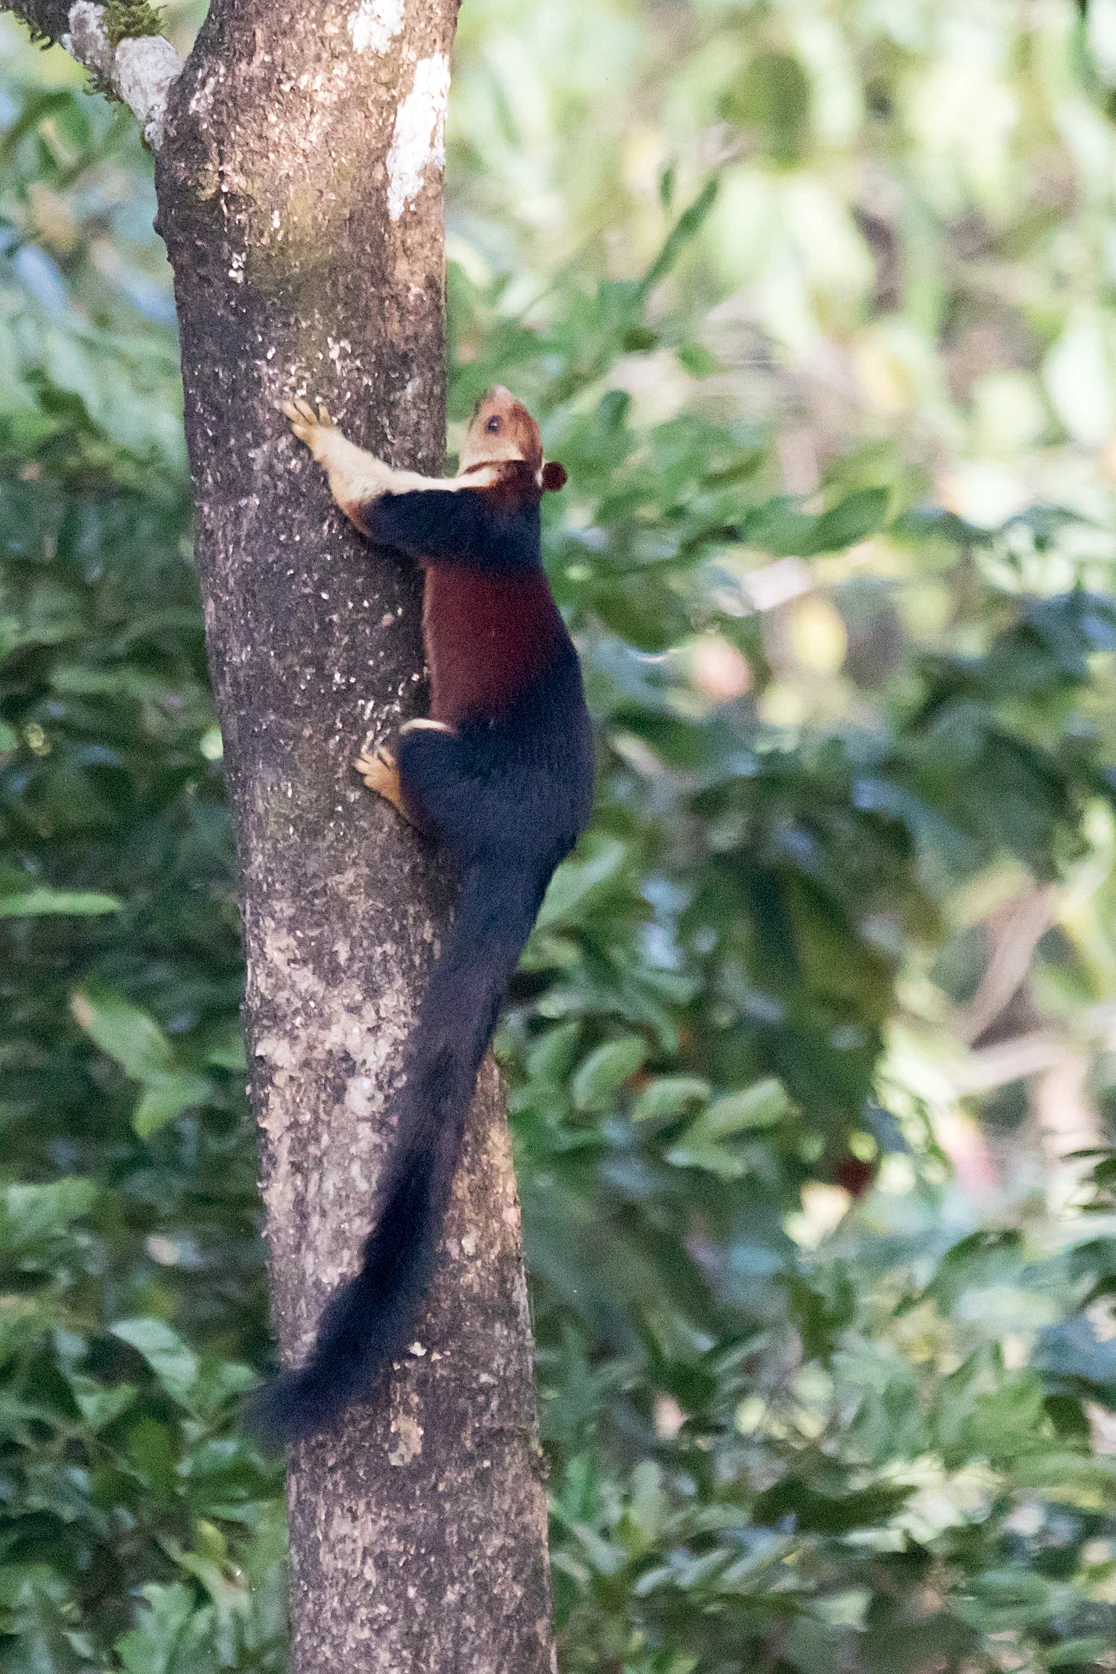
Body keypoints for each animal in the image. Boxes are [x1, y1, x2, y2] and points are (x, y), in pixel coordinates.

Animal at [249, 387, 594, 1440]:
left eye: (498, 427)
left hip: (441, 752)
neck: (515, 501)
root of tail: (535, 847)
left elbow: (370, 502)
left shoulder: (442, 516)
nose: (489, 395)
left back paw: (388, 780)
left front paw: (315, 427)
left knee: (418, 763)